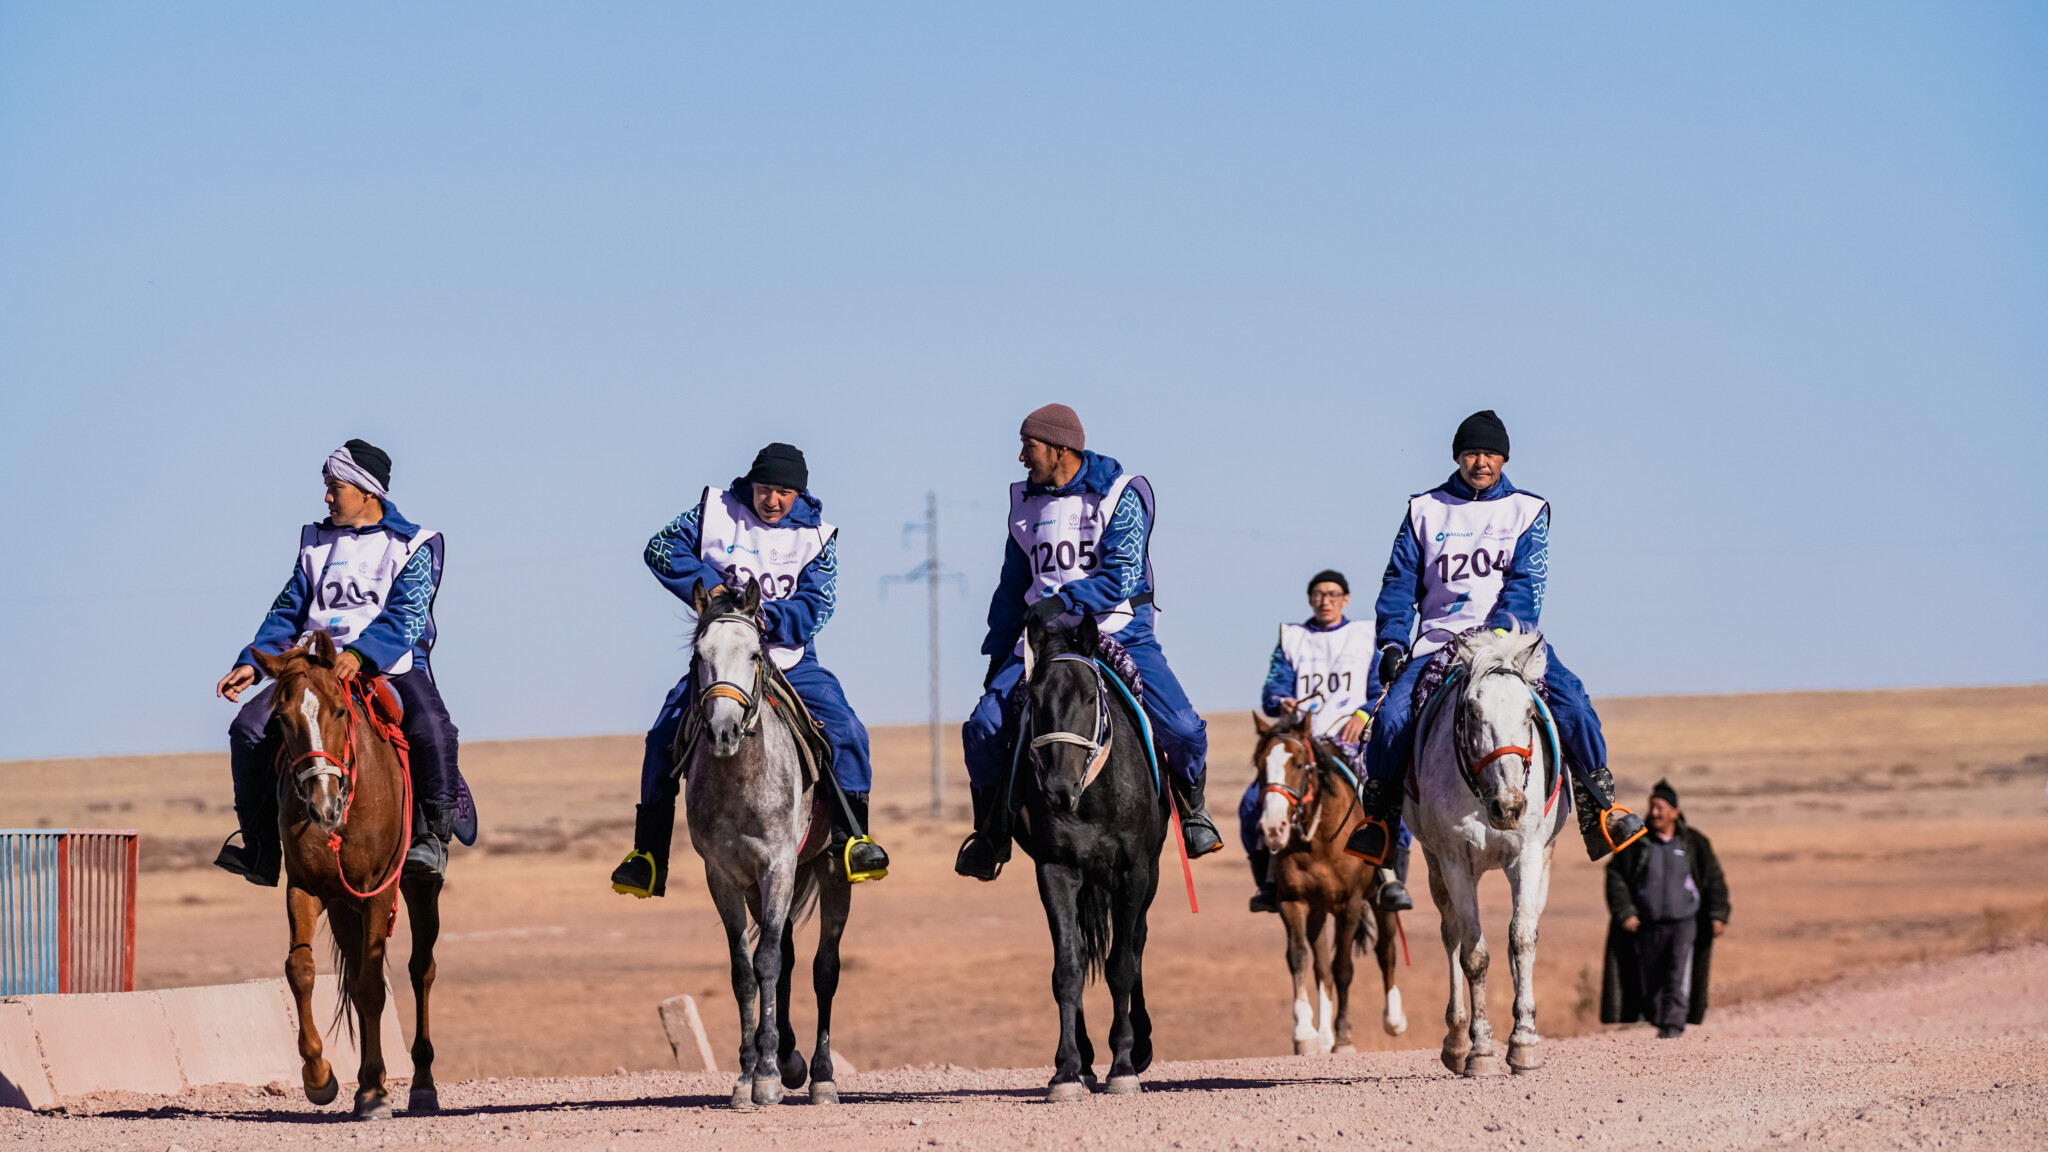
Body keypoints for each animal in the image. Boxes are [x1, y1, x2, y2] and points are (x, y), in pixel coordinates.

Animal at [249, 631, 442, 1115]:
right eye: (281, 719)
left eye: (339, 709)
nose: (323, 805)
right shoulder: (307, 888)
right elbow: (301, 968)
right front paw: (320, 1077)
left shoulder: (378, 891)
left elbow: (374, 985)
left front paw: (374, 1092)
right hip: (341, 905)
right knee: (353, 977)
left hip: (417, 889)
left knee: (421, 970)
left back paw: (422, 1084)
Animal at [688, 582, 847, 1106]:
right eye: (699, 655)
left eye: (756, 654)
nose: (723, 731)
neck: (739, 780)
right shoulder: (724, 876)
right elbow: (745, 970)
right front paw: (748, 1072)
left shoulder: (778, 866)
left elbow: (769, 961)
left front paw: (768, 1076)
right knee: (791, 959)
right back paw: (790, 1056)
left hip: (830, 872)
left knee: (823, 968)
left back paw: (820, 1075)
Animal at [1007, 614, 1171, 1098]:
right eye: (1034, 698)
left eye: (1089, 696)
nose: (1058, 789)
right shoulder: (1056, 871)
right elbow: (1068, 966)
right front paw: (1066, 1070)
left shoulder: (1134, 874)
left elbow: (1121, 965)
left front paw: (1124, 1065)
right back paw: (1083, 1061)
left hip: (1147, 878)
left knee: (1136, 944)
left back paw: (1139, 1045)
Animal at [1245, 713, 1409, 1057]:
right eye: (1260, 764)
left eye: (1298, 764)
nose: (1272, 828)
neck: (1318, 839)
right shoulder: (1292, 902)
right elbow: (1300, 959)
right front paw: (1305, 1034)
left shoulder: (1351, 904)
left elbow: (1343, 968)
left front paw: (1344, 1038)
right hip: (1318, 910)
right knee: (1321, 966)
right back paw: (1322, 1036)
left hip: (1378, 902)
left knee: (1385, 950)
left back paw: (1393, 1019)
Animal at [1409, 623, 1564, 1074]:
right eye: (1474, 712)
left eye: (1529, 713)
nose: (1510, 806)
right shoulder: (1454, 862)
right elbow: (1473, 953)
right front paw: (1479, 1050)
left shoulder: (1528, 856)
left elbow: (1522, 939)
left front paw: (1524, 1042)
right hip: (1435, 866)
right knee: (1452, 935)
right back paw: (1457, 1041)